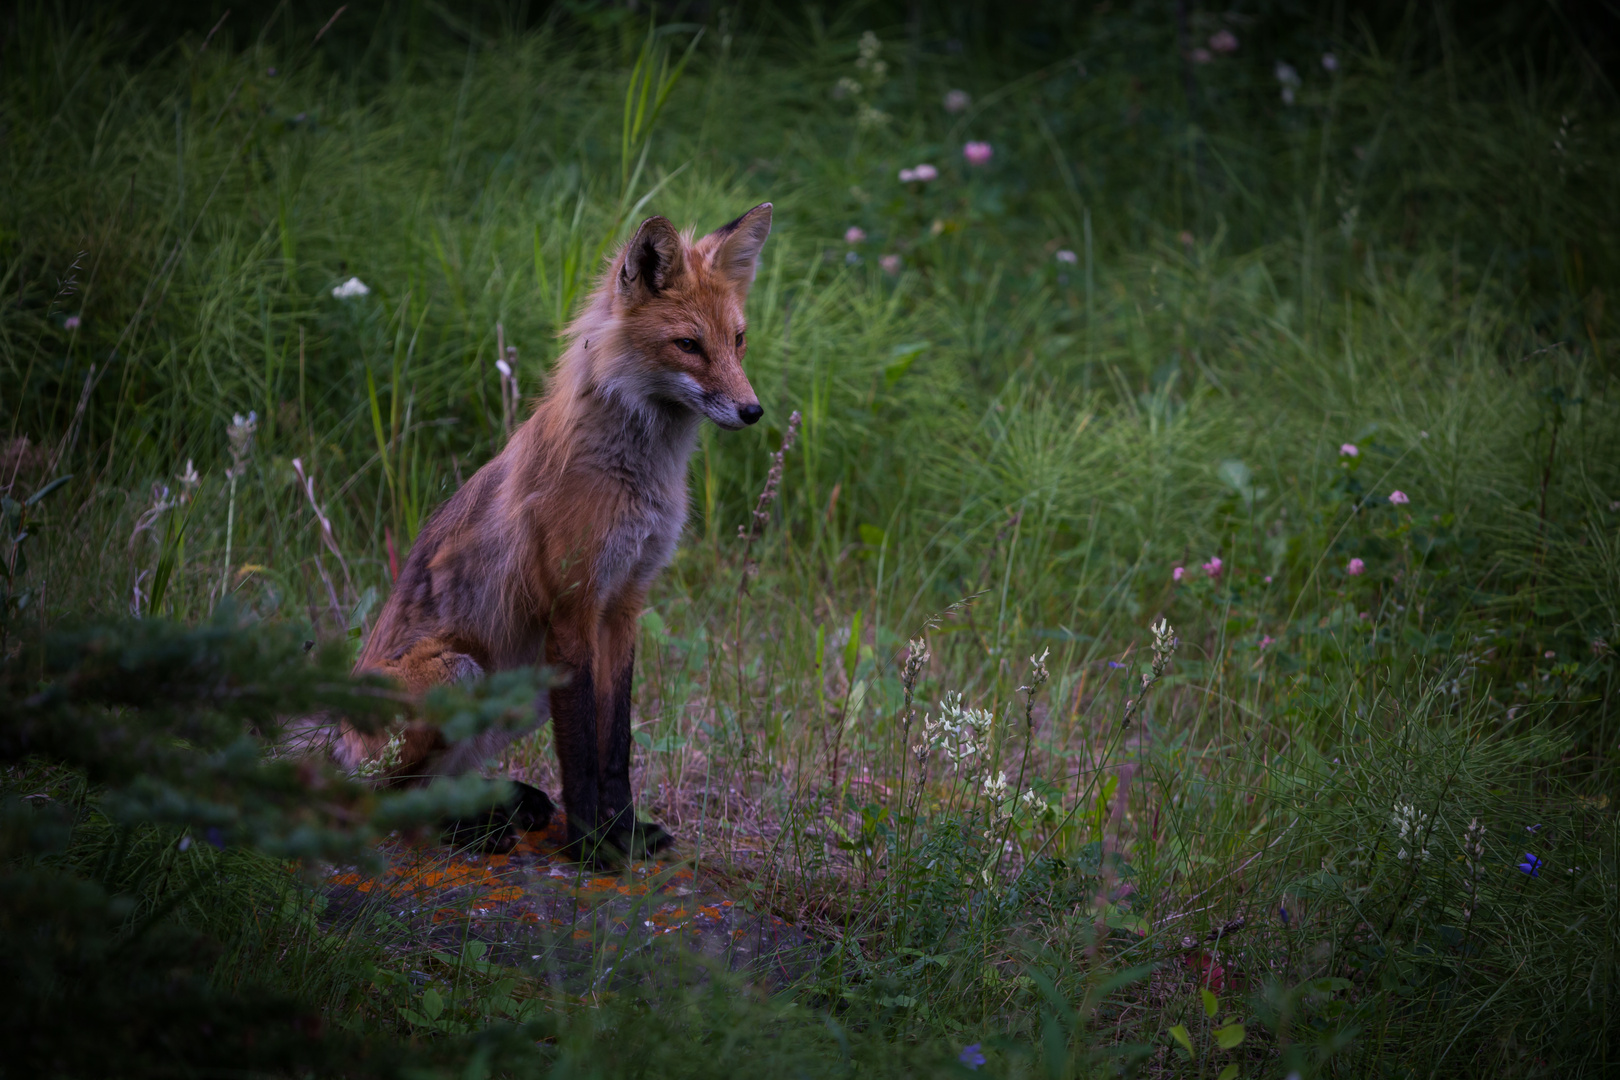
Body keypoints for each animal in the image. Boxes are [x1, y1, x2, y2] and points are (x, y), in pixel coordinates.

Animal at [340, 202, 771, 861]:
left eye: (738, 340)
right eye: (688, 345)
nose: (752, 412)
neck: (635, 480)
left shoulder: (623, 605)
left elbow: (615, 743)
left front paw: (626, 830)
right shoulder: (572, 608)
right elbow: (583, 752)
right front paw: (593, 845)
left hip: (523, 688)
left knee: (442, 782)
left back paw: (497, 807)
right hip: (462, 673)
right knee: (384, 803)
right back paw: (468, 826)